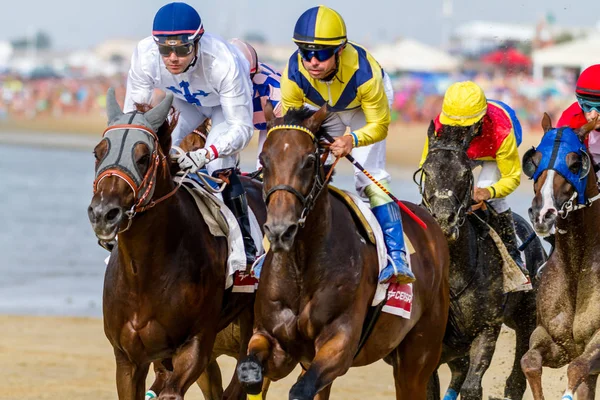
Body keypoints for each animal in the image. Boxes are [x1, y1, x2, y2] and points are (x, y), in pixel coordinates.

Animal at [88, 90, 266, 400]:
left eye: (143, 157)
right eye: (98, 152)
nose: (103, 213)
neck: (144, 275)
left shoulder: (195, 347)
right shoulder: (128, 360)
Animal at [236, 106, 450, 400]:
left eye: (309, 160)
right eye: (263, 159)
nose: (280, 230)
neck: (302, 268)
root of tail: (431, 225)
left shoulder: (340, 343)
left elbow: (300, 390)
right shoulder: (274, 339)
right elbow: (251, 373)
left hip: (418, 357)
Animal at [418, 122, 544, 400]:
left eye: (465, 173)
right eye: (427, 172)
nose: (444, 220)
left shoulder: (487, 327)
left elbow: (472, 387)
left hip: (526, 314)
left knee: (516, 378)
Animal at [520, 113, 600, 400]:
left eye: (576, 163)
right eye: (533, 161)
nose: (543, 214)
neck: (577, 264)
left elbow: (577, 369)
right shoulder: (555, 341)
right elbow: (529, 362)